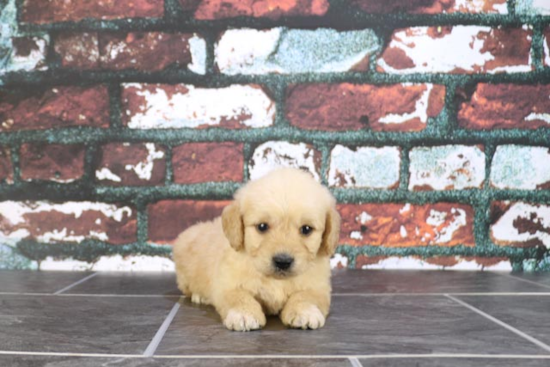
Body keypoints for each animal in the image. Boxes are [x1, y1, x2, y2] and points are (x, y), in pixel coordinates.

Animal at [175, 168, 342, 332]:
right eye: (262, 226)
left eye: (306, 229)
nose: (283, 261)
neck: (276, 280)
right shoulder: (227, 283)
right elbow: (239, 296)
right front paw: (244, 314)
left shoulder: (318, 286)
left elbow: (306, 296)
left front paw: (305, 312)